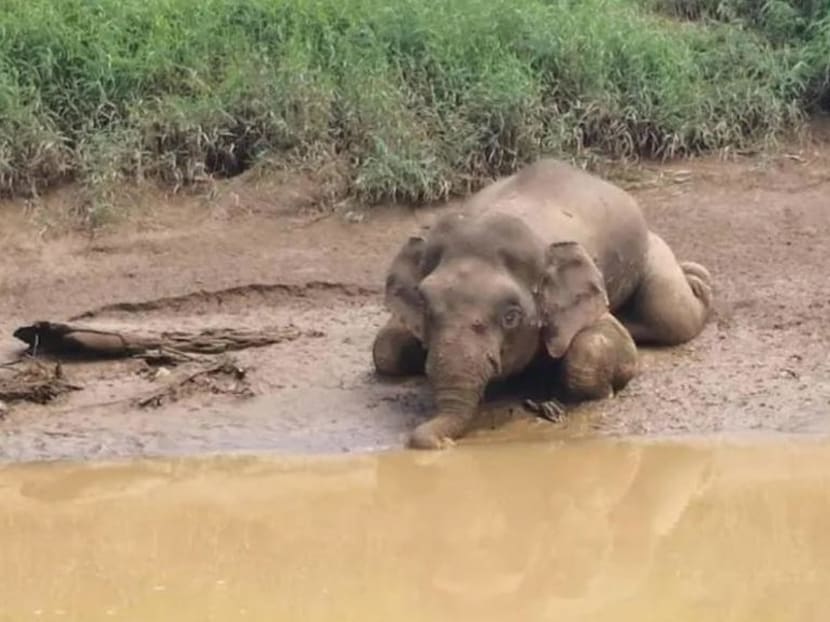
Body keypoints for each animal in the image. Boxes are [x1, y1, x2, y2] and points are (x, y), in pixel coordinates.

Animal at [372, 158, 713, 449]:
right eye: (424, 305)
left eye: (511, 316)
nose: (444, 444)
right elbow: (385, 348)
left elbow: (595, 349)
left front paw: (601, 393)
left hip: (649, 252)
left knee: (672, 313)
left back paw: (699, 281)